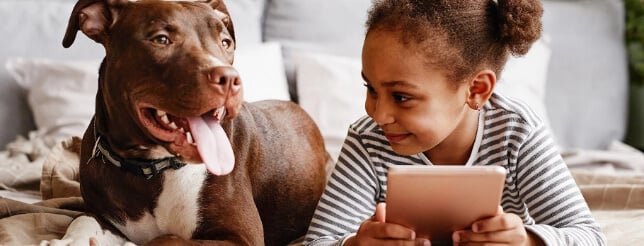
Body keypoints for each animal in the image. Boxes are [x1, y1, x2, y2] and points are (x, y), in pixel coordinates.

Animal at [55, 0, 330, 245]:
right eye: (161, 39)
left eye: (225, 43)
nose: (230, 79)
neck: (149, 169)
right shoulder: (103, 216)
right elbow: (82, 220)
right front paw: (69, 240)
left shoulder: (240, 238)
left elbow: (166, 240)